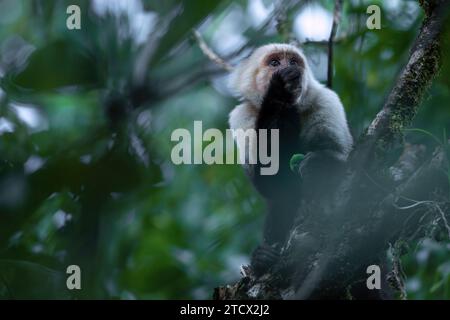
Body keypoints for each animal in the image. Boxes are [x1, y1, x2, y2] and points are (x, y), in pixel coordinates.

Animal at [230, 43, 354, 276]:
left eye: (294, 62)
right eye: (275, 63)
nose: (293, 71)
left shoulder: (326, 100)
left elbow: (342, 157)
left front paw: (319, 166)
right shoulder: (242, 116)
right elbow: (272, 183)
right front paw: (280, 89)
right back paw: (262, 258)